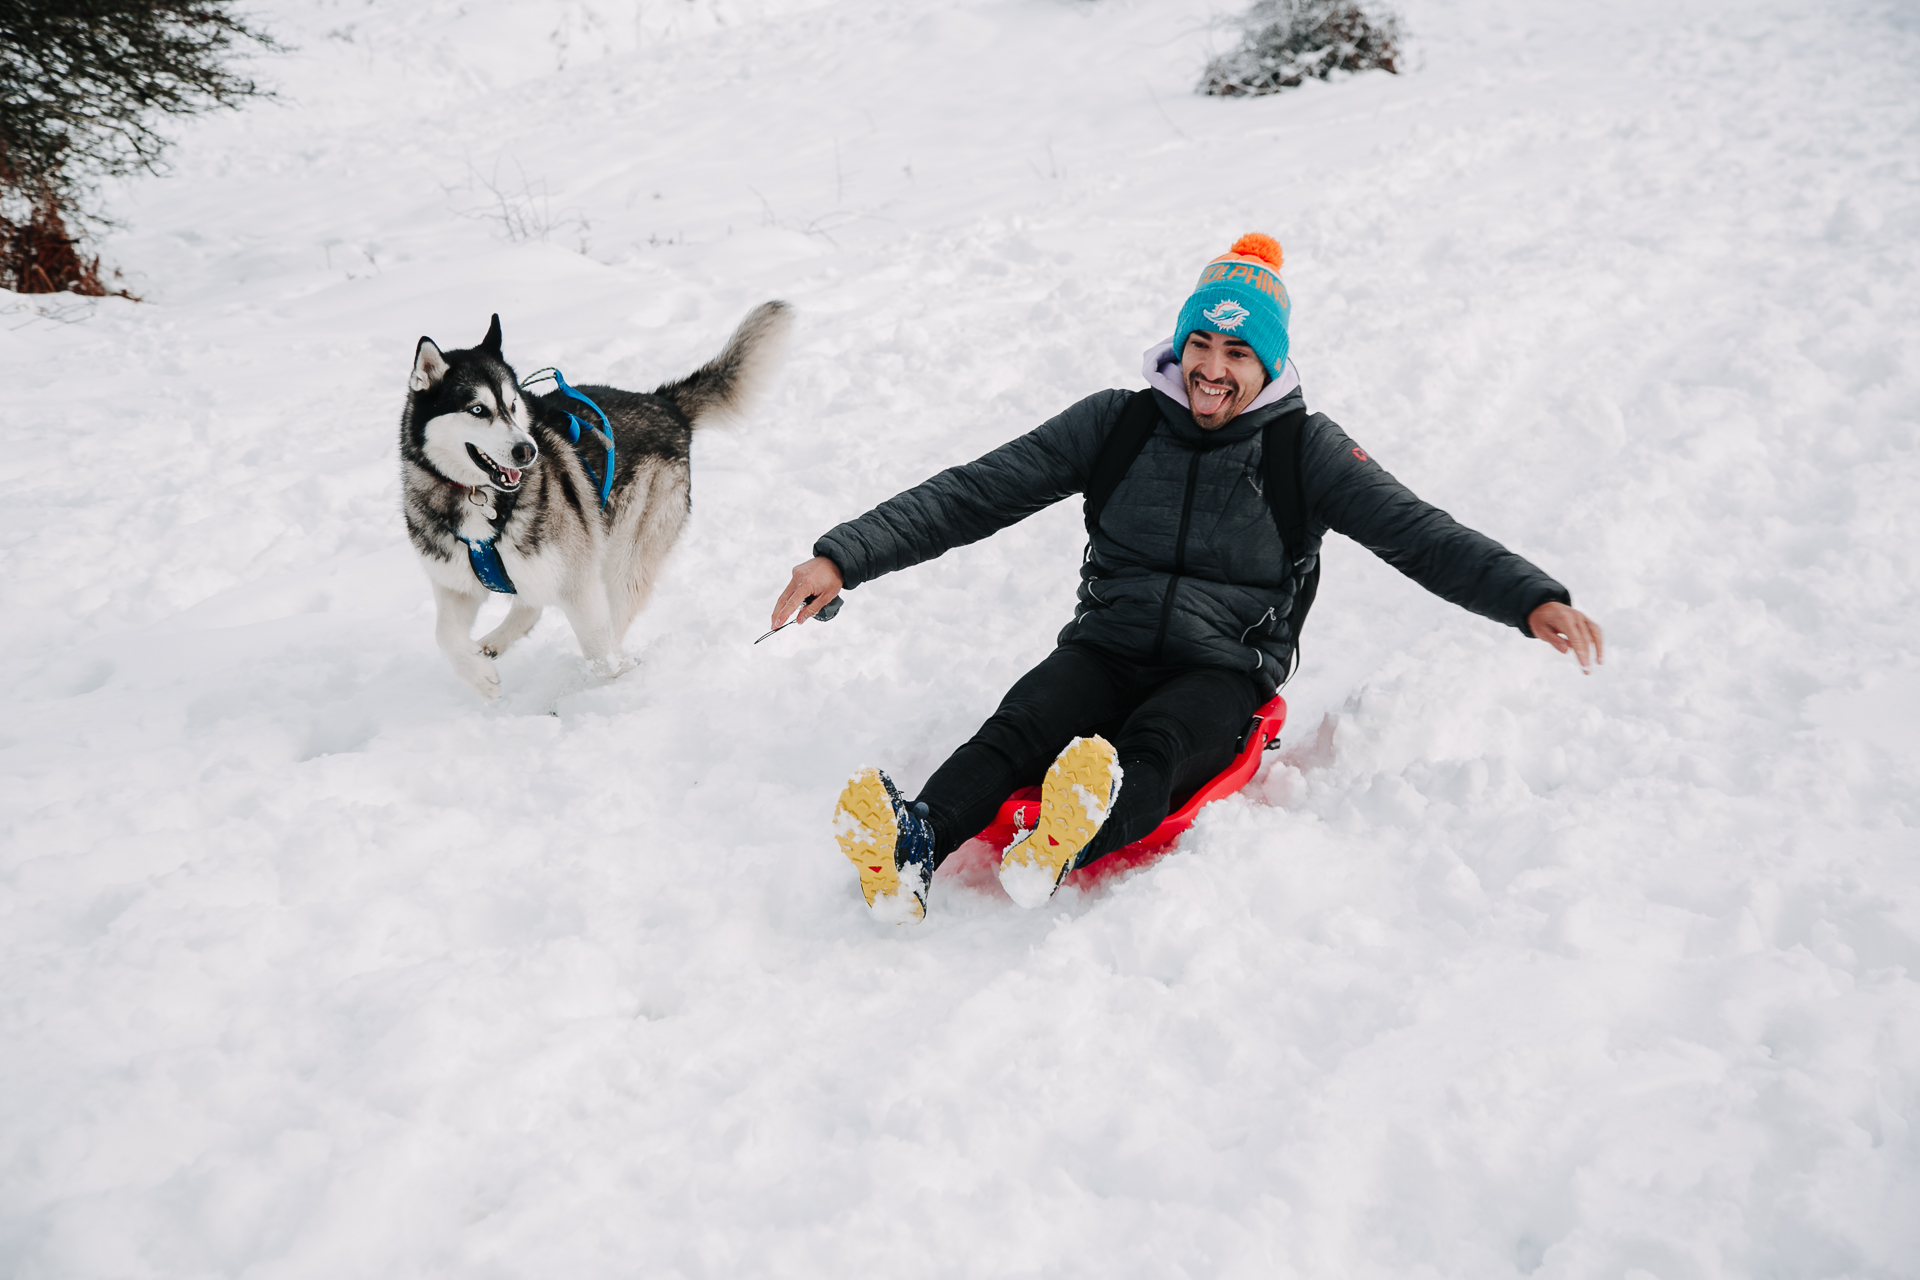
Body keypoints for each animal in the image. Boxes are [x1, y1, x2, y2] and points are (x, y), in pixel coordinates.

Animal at [401, 301, 791, 702]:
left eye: (512, 404)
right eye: (477, 410)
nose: (527, 450)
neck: (481, 498)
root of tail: (665, 404)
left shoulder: (578, 582)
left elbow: (600, 653)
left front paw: (608, 690)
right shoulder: (454, 583)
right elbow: (445, 636)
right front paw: (479, 676)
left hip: (624, 559)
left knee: (611, 619)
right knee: (532, 606)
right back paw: (493, 643)